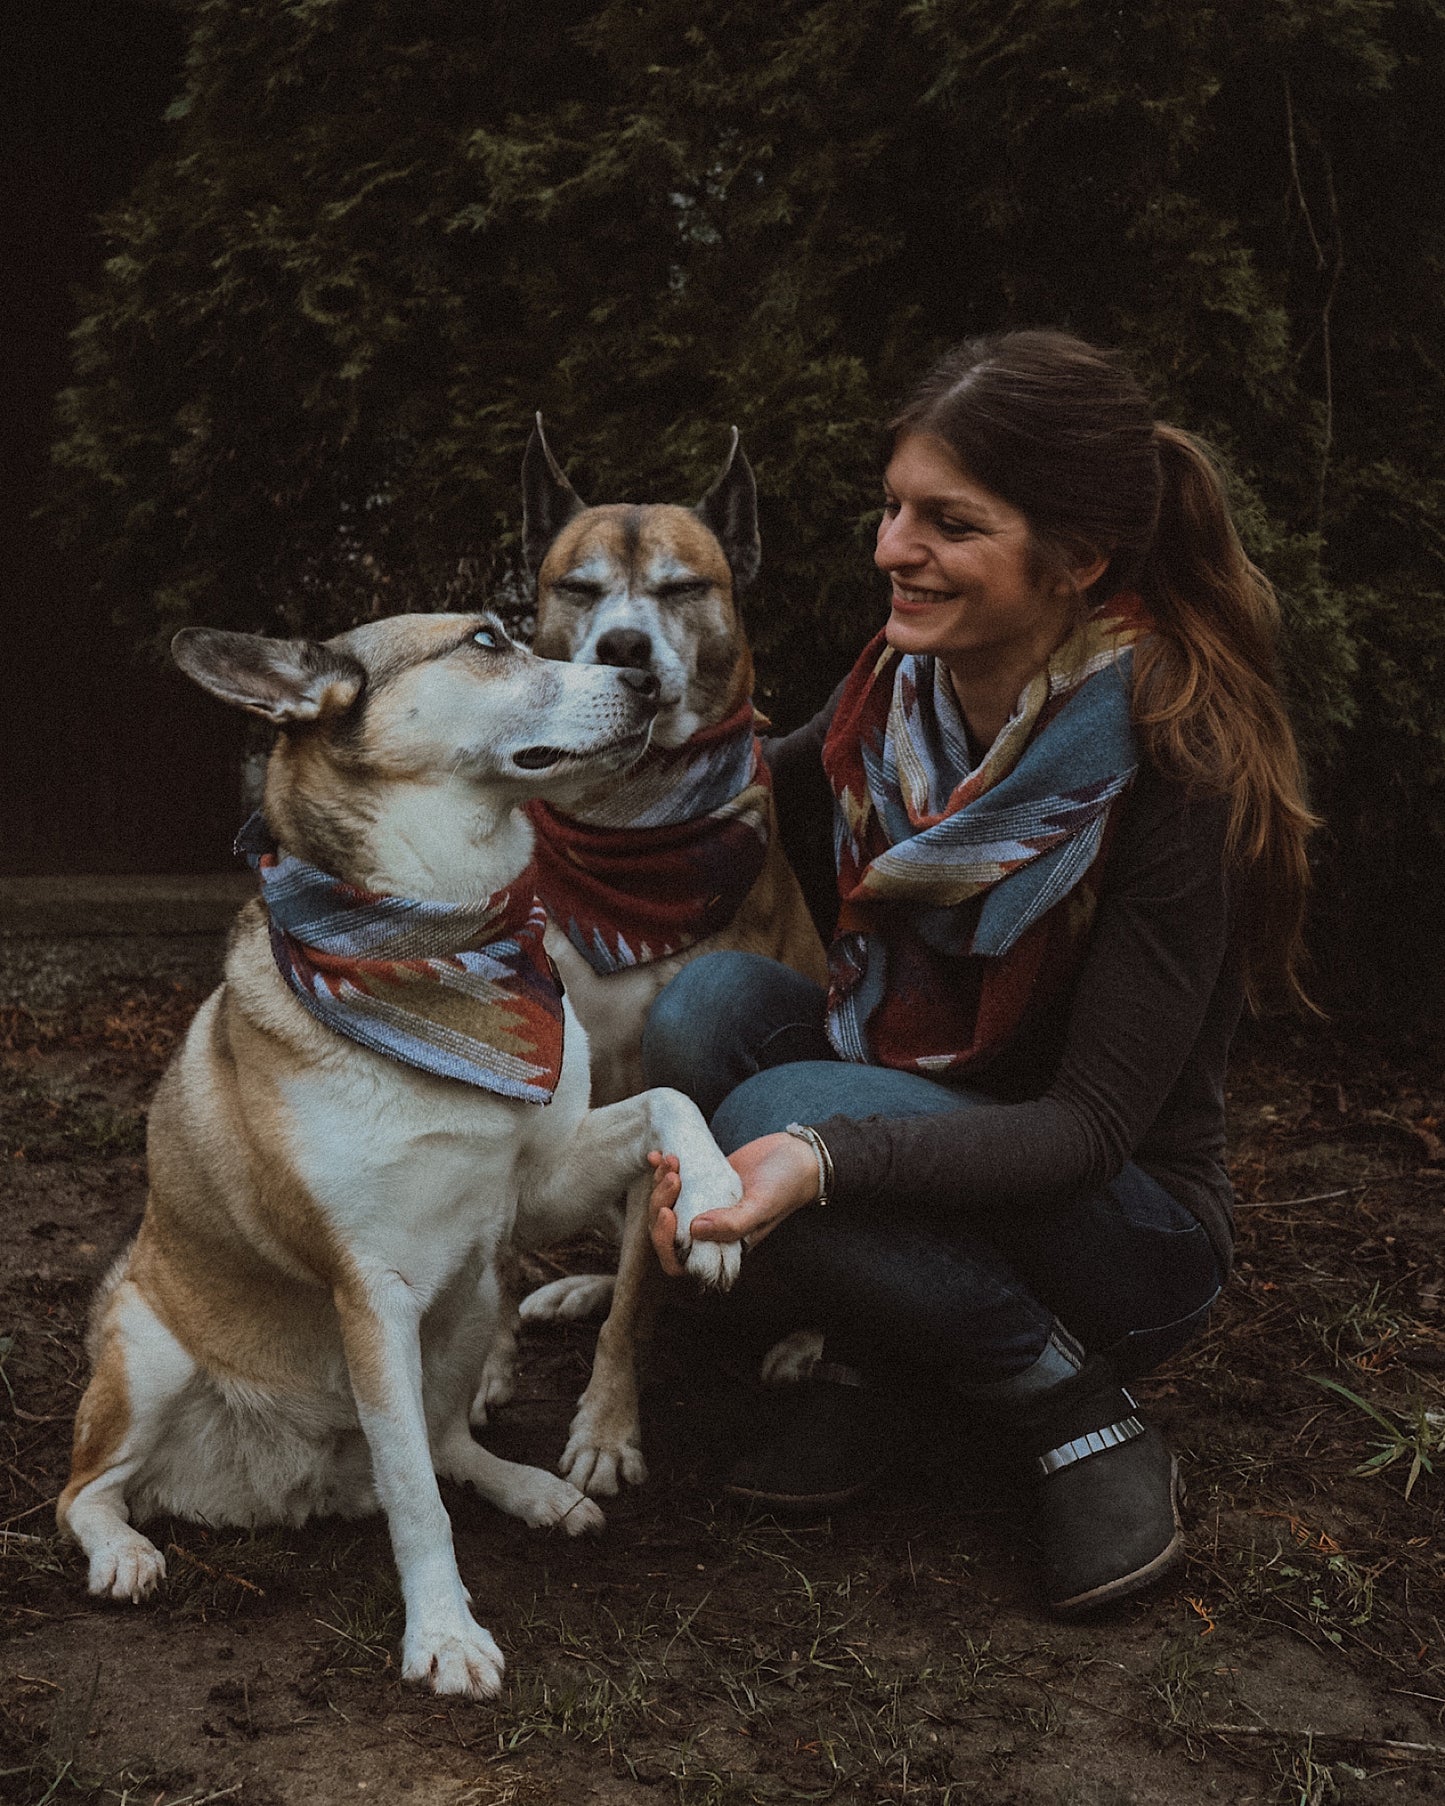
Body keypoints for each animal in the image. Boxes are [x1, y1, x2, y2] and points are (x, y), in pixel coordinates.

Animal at [56, 614, 744, 1697]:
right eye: (488, 639)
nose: (644, 679)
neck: (438, 948)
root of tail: (280, 1484)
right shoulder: (370, 1291)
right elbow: (416, 1499)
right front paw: (445, 1635)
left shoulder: (536, 1188)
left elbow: (669, 1100)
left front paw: (713, 1206)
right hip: (148, 1352)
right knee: (87, 1490)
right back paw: (123, 1551)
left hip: (473, 1300)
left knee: (446, 1437)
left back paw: (529, 1490)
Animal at [494, 426, 823, 1495]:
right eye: (578, 587)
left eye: (681, 588)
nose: (624, 649)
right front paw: (487, 1370)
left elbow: (644, 1299)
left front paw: (606, 1430)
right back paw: (579, 1288)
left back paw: (802, 1340)